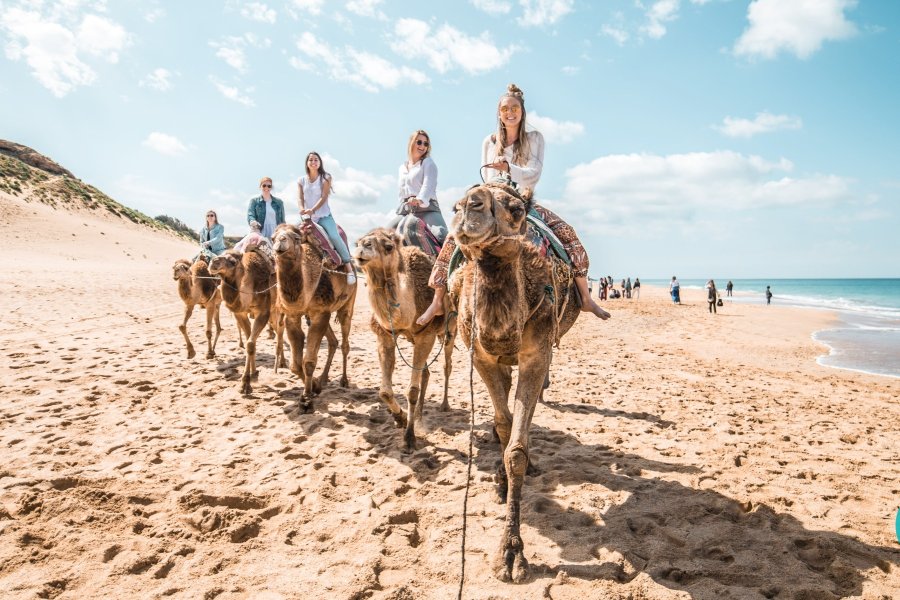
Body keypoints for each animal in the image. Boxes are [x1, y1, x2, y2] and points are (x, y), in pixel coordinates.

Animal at [209, 249, 285, 395]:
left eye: (232, 261)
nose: (213, 262)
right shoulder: (240, 313)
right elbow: (250, 341)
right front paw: (254, 374)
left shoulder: (263, 312)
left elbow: (250, 343)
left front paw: (245, 384)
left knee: (281, 329)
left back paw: (281, 364)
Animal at [272, 223, 356, 410]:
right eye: (273, 237)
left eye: (296, 238)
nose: (281, 242)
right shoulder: (293, 316)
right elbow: (295, 365)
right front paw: (315, 386)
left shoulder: (320, 313)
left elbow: (309, 361)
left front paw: (306, 399)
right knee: (333, 341)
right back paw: (323, 378)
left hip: (347, 304)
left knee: (345, 342)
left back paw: (344, 380)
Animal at [352, 228, 456, 452]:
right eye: (358, 242)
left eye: (388, 246)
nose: (363, 247)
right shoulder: (384, 335)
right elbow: (384, 391)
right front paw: (400, 418)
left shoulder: (426, 335)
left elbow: (412, 390)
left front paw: (409, 438)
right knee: (426, 372)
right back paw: (417, 416)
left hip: (450, 330)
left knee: (447, 365)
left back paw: (444, 405)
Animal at [450, 182, 581, 583]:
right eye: (455, 204)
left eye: (516, 209)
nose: (468, 206)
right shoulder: (480, 356)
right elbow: (505, 424)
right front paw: (502, 484)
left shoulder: (537, 352)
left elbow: (517, 449)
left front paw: (510, 553)